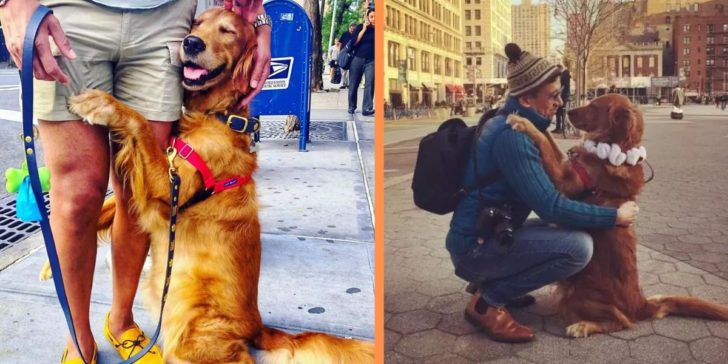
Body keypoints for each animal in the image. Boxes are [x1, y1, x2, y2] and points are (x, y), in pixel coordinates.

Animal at [47, 7, 372, 362]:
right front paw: (52, 267)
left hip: (191, 334)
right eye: (197, 23)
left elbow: (139, 121)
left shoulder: (169, 185)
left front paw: (99, 103)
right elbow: (106, 205)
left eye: (228, 31)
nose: (191, 43)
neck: (217, 115)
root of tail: (257, 325)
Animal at [506, 94, 728, 338]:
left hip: (579, 294)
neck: (613, 149)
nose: (567, 110)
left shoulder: (565, 183)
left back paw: (582, 326)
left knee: (621, 321)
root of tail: (640, 304)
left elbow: (544, 144)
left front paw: (523, 123)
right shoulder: (566, 167)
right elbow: (550, 142)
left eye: (594, 106)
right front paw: (534, 121)